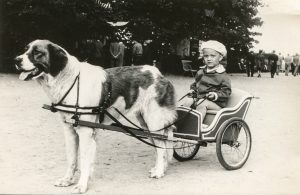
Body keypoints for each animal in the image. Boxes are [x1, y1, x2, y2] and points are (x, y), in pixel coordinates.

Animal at [14, 40, 177, 193]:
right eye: (25, 49)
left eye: (37, 52)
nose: (16, 59)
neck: (70, 81)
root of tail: (159, 74)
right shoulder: (69, 131)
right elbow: (72, 158)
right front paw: (67, 180)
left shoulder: (85, 132)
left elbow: (84, 160)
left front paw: (81, 185)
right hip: (145, 122)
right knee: (163, 143)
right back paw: (162, 168)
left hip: (153, 120)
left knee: (161, 145)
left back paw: (159, 171)